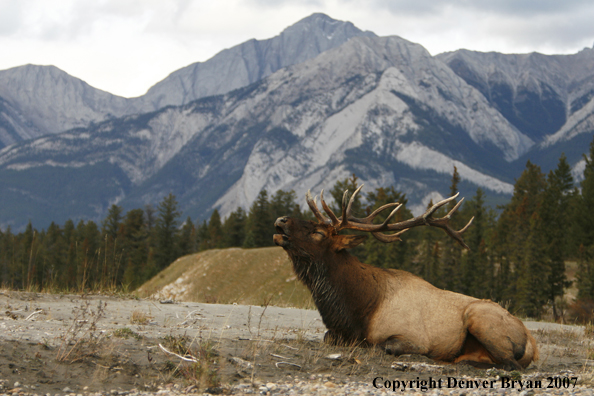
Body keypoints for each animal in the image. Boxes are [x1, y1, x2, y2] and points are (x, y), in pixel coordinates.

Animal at [272, 187, 536, 370]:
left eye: (318, 232)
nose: (281, 219)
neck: (357, 310)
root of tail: (532, 343)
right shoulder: (335, 331)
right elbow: (327, 338)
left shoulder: (414, 338)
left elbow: (379, 345)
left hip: (479, 318)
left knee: (510, 364)